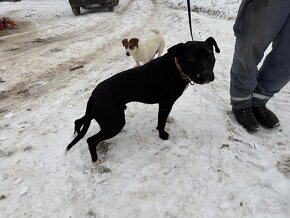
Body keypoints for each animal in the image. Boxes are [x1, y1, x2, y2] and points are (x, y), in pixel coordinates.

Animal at [65, 38, 220, 162]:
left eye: (210, 56)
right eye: (192, 58)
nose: (207, 75)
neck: (176, 68)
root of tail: (93, 94)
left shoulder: (164, 104)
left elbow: (162, 119)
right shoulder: (165, 103)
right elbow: (162, 121)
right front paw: (162, 135)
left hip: (100, 115)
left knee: (79, 121)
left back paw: (77, 132)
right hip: (114, 123)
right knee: (91, 141)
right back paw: (95, 159)